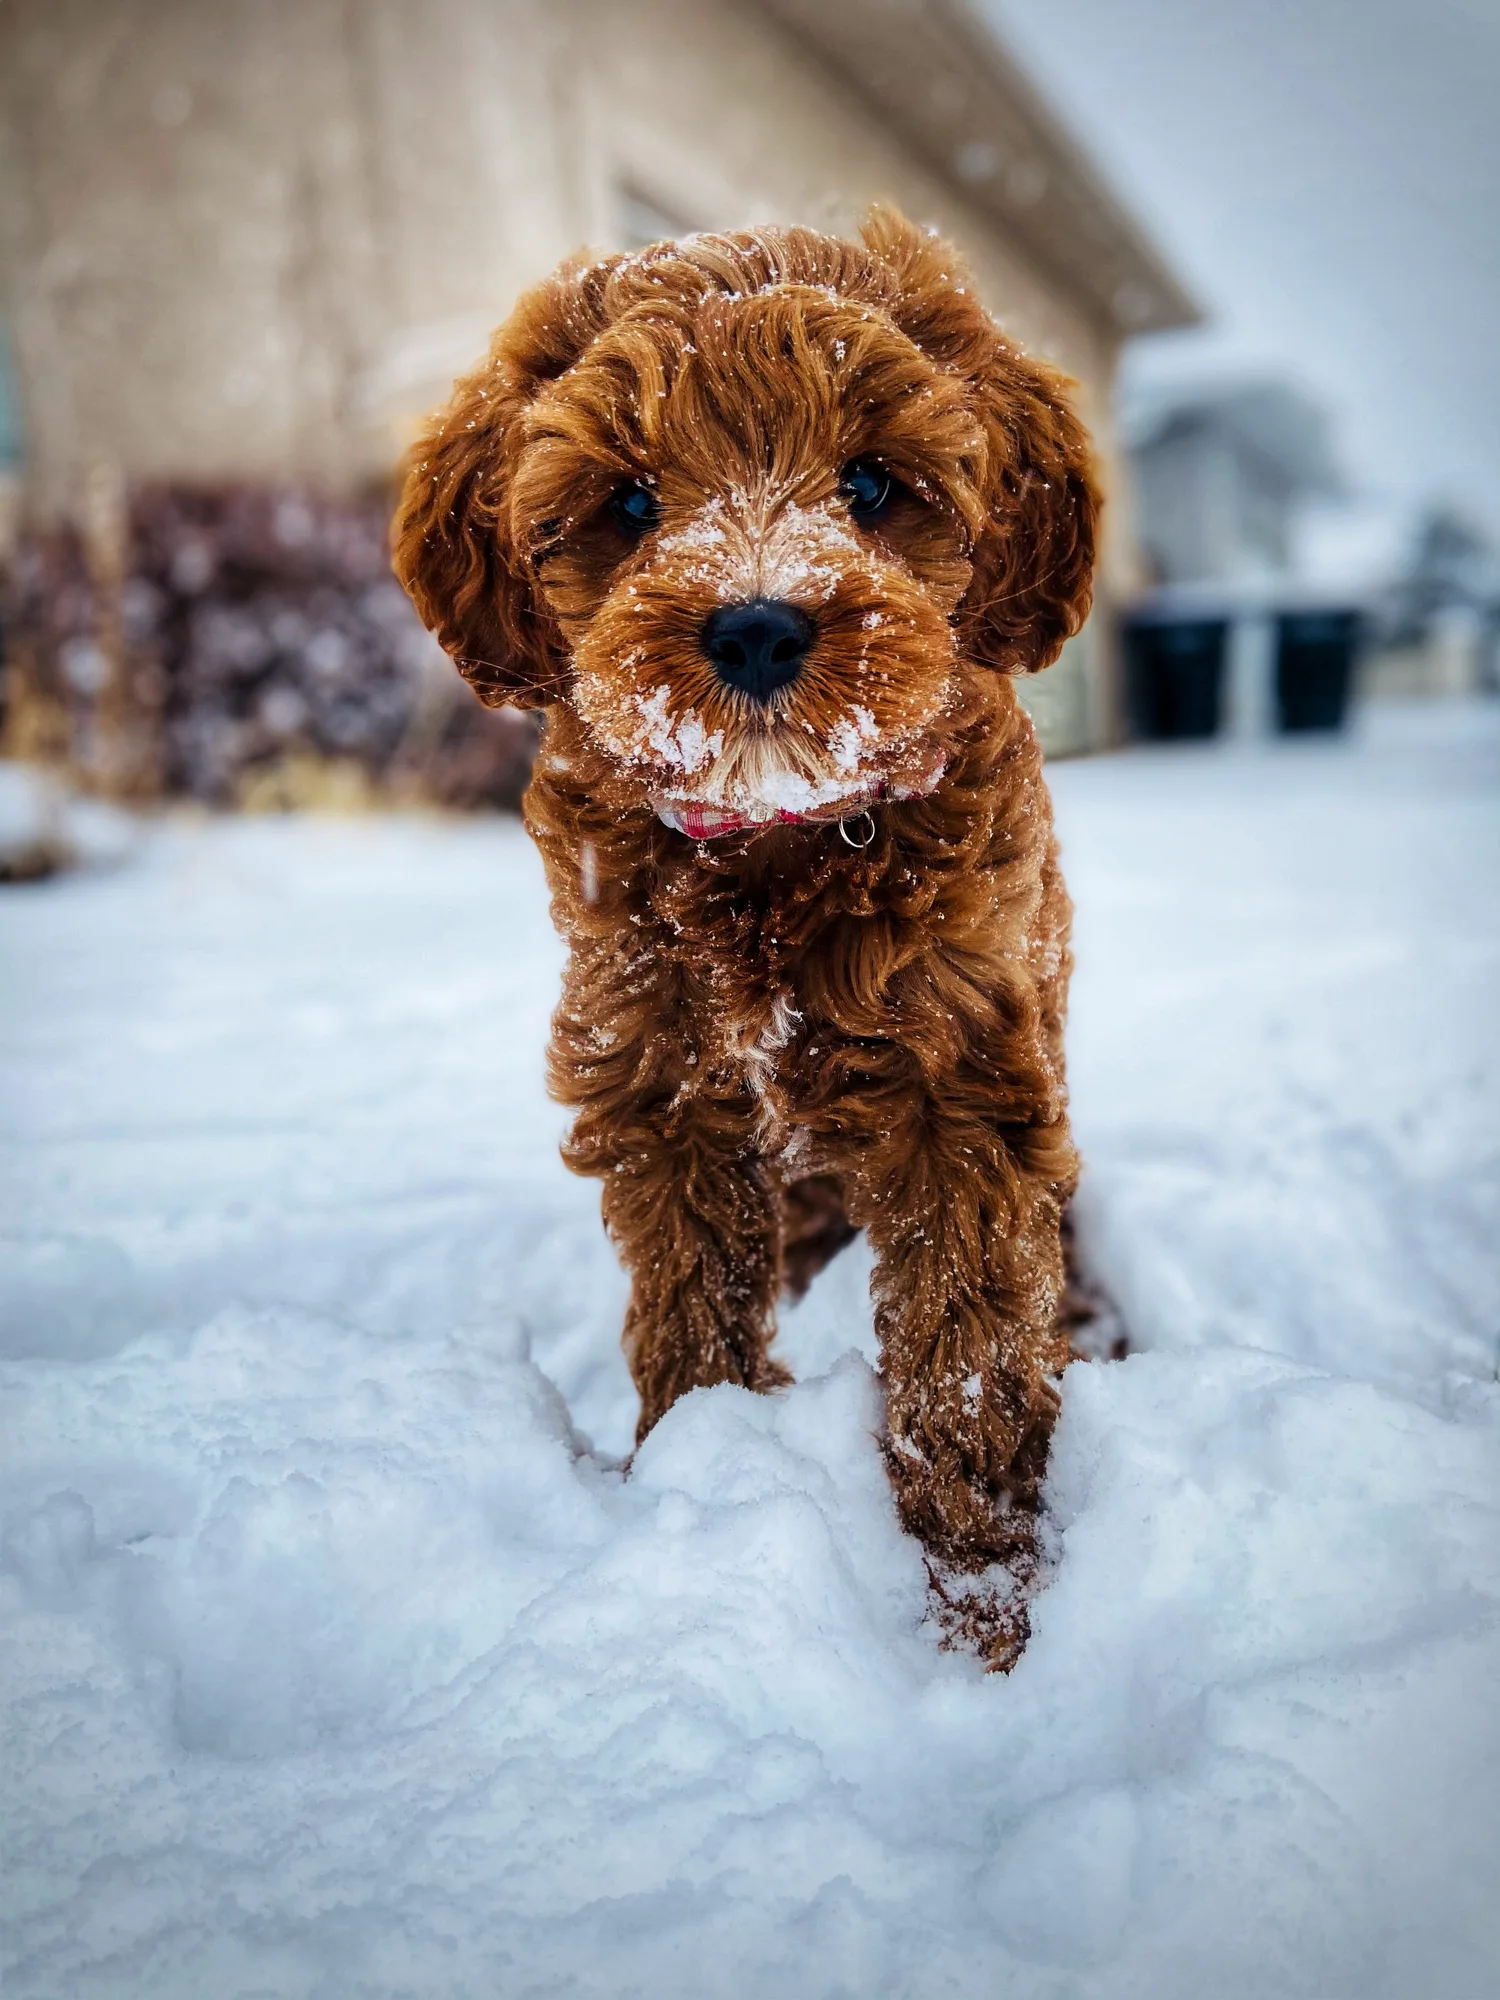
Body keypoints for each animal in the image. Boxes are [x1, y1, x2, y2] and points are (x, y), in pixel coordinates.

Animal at [396, 207, 1104, 1672]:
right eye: (628, 504)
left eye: (873, 483)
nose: (762, 623)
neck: (782, 843)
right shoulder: (656, 1074)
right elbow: (689, 1300)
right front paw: (690, 1457)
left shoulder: (964, 1072)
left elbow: (970, 1344)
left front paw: (983, 1604)